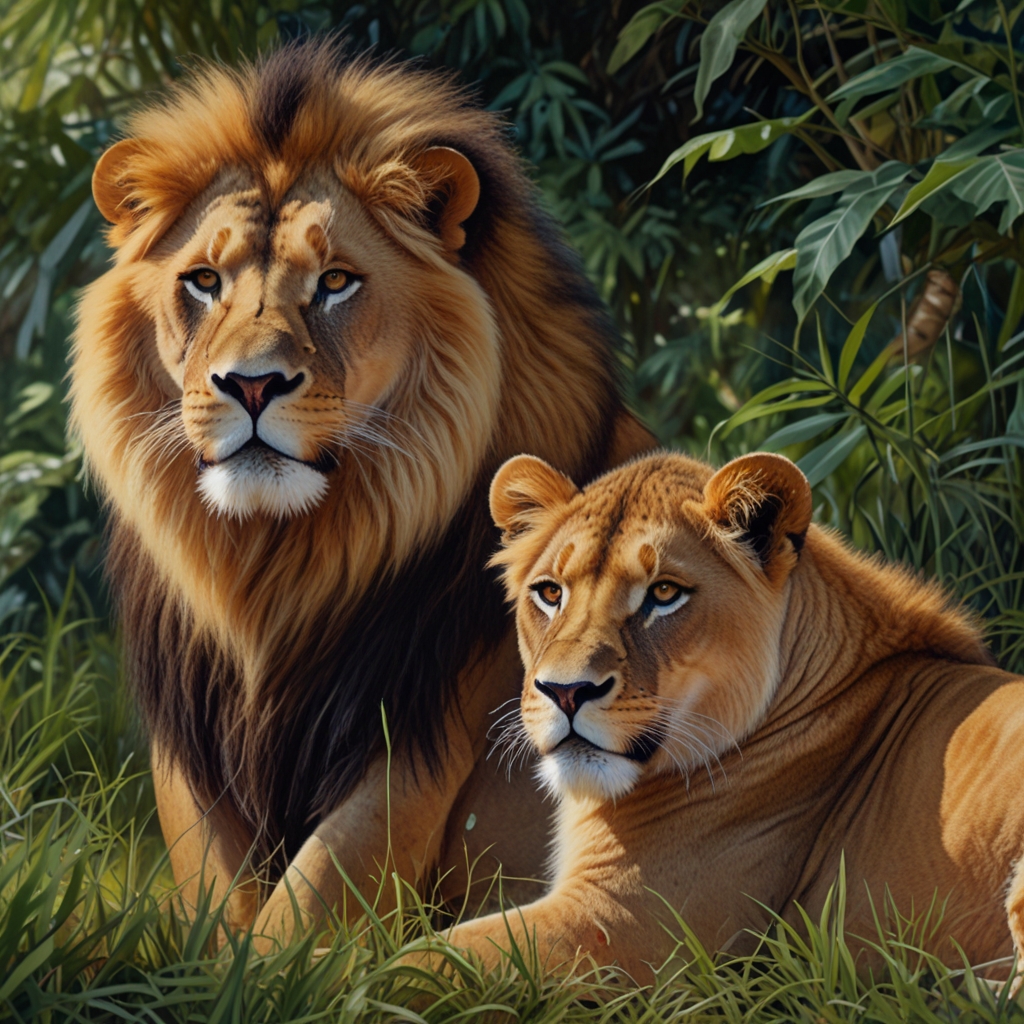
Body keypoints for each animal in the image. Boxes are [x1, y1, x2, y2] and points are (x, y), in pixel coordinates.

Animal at [69, 40, 654, 938]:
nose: (250, 384)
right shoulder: (194, 751)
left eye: (337, 282)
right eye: (202, 281)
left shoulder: (413, 745)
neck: (272, 568)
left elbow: (292, 922)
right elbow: (222, 910)